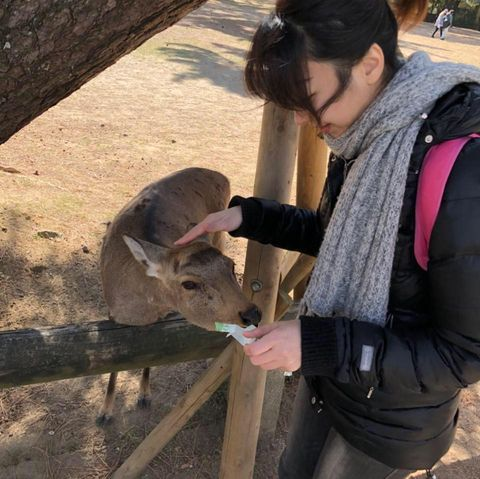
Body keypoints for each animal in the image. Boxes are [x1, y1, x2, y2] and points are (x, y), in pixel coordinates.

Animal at [96, 167, 261, 425]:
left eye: (231, 266)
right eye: (189, 283)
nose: (252, 313)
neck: (139, 313)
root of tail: (220, 174)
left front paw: (144, 396)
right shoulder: (111, 314)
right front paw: (105, 413)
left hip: (220, 236)